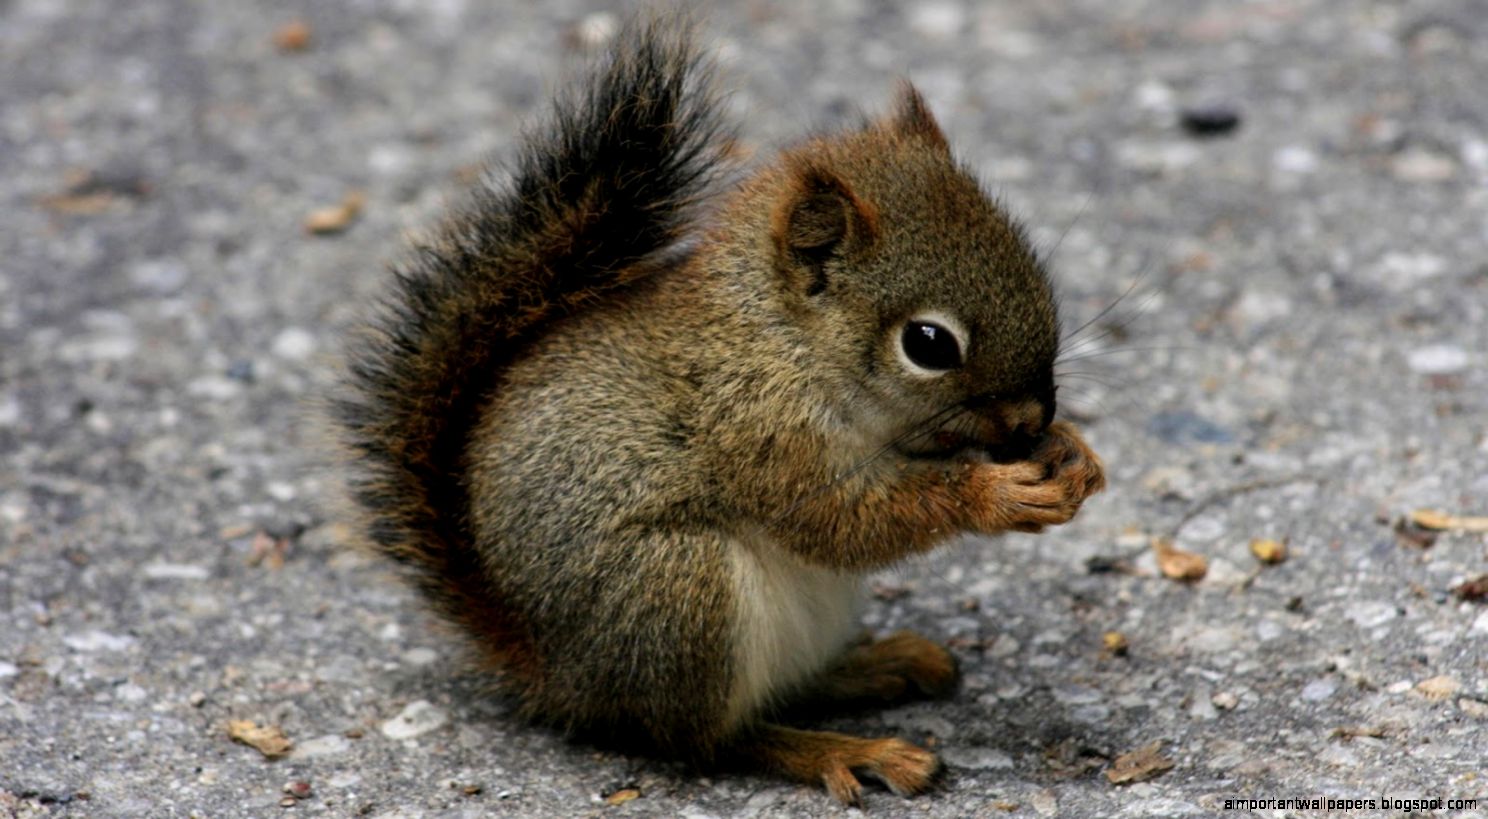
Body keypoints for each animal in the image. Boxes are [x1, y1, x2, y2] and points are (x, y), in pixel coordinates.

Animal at [334, 18, 1105, 806]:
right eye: (928, 343)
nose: (1031, 418)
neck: (783, 340)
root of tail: (557, 674)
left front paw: (1073, 454)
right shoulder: (758, 432)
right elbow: (842, 521)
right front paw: (996, 493)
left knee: (784, 690)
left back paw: (878, 664)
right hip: (679, 593)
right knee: (709, 739)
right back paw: (842, 750)